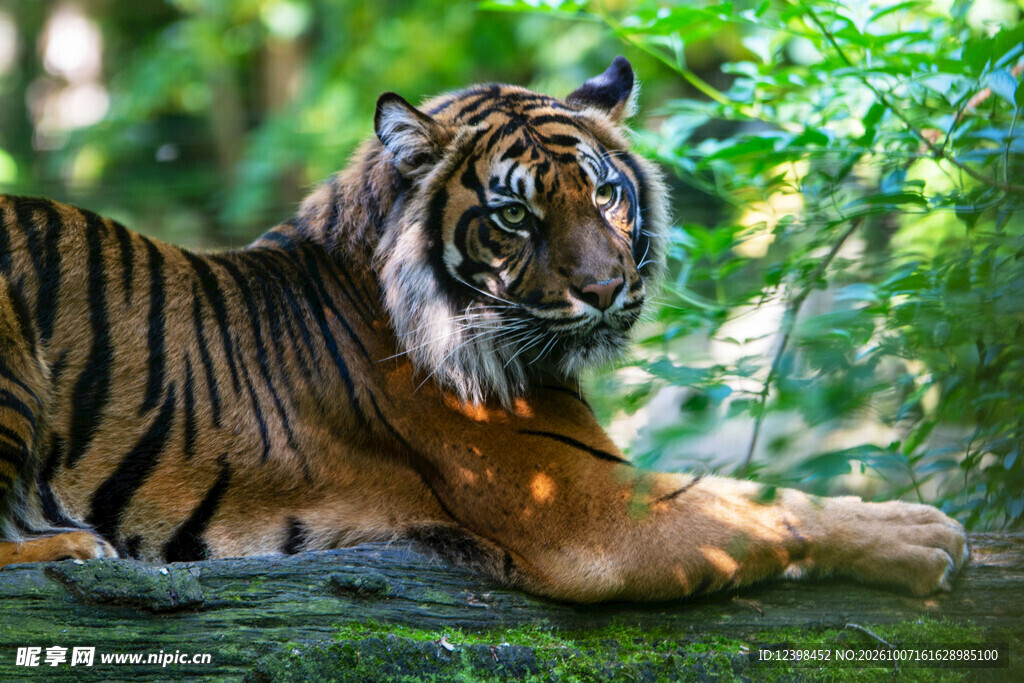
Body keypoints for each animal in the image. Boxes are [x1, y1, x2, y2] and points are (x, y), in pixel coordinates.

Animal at [0, 57, 967, 602]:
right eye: (513, 214)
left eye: (605, 191)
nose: (606, 289)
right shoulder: (580, 503)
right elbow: (765, 504)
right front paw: (923, 534)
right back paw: (78, 544)